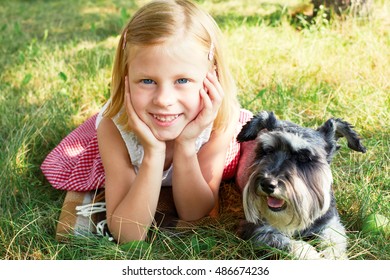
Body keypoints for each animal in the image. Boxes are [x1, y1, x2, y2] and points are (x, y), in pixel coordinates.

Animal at [236, 111, 368, 260]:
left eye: (303, 157)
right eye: (267, 151)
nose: (267, 184)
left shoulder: (330, 223)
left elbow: (334, 243)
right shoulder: (259, 231)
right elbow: (295, 245)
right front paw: (313, 256)